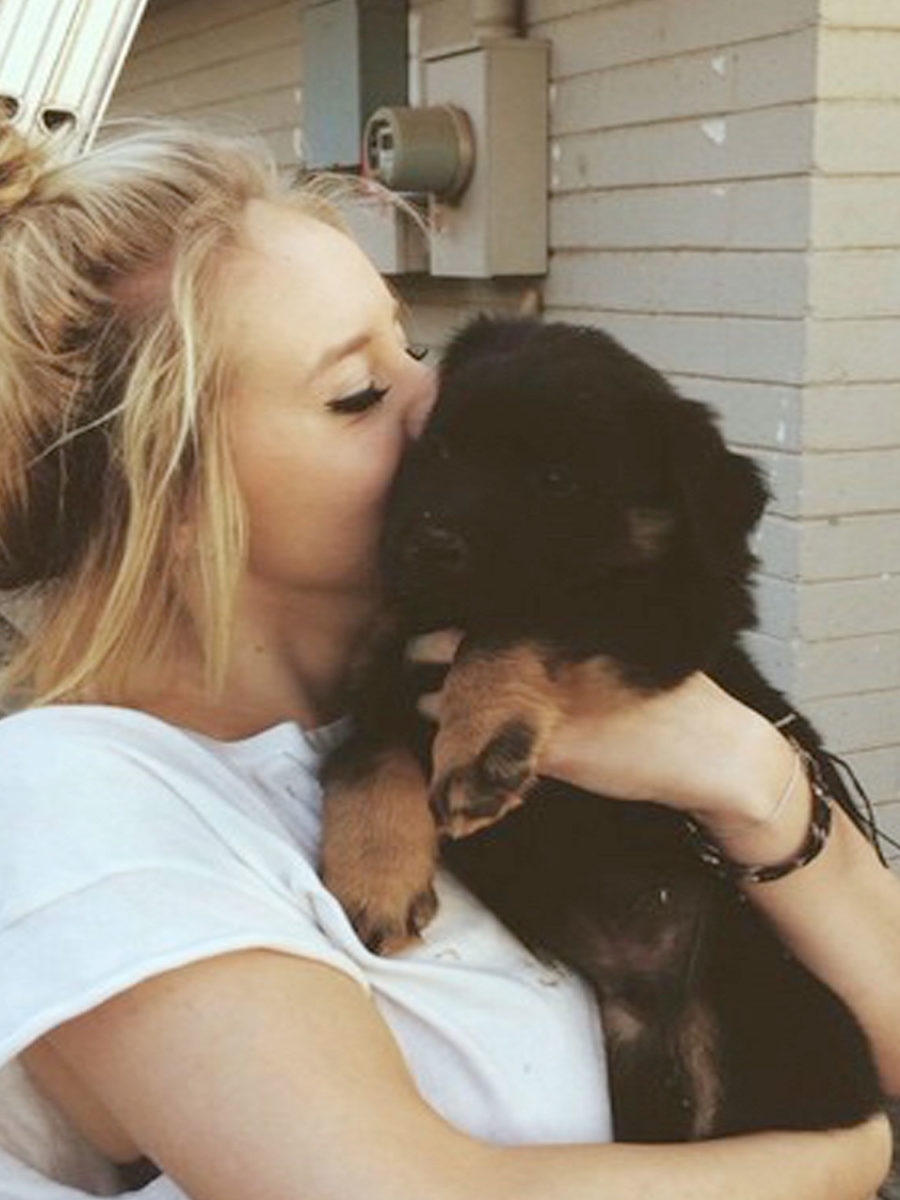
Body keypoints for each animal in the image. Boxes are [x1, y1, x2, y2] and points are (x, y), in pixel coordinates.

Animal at [319, 315, 882, 1141]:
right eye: (440, 448)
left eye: (557, 481)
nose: (425, 546)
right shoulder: (382, 671)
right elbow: (363, 754)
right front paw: (374, 878)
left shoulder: (665, 616)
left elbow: (525, 615)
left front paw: (481, 744)